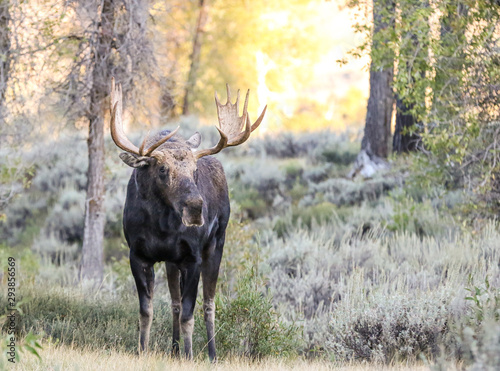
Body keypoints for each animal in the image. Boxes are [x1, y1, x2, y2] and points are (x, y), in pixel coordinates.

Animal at [109, 77, 266, 362]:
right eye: (162, 169)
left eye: (194, 170)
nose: (196, 207)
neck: (161, 227)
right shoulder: (137, 254)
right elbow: (147, 311)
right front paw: (142, 350)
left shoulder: (192, 257)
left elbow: (188, 313)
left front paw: (190, 354)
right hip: (173, 262)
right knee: (174, 302)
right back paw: (173, 349)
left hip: (216, 244)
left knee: (209, 302)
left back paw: (212, 354)